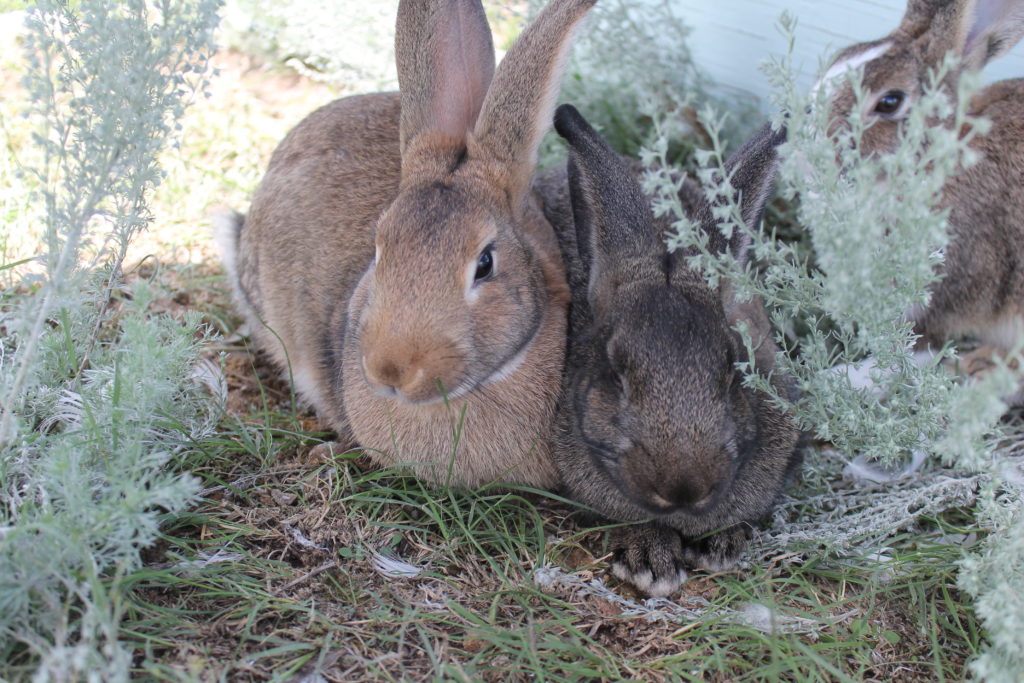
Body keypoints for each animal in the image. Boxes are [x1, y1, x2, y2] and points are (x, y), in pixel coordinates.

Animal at [819, 1, 1024, 389]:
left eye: (889, 101)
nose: (789, 123)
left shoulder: (944, 294)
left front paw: (830, 383)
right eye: (838, 59)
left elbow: (904, 357)